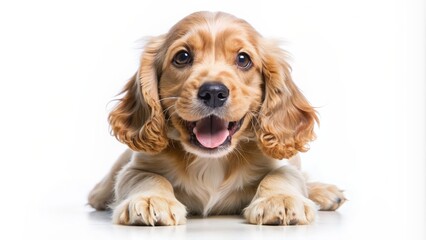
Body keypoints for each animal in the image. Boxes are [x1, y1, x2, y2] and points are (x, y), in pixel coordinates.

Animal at [88, 10, 344, 225]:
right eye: (182, 56)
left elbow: (282, 175)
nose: (213, 92)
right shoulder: (135, 167)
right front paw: (151, 200)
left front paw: (281, 200)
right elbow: (147, 178)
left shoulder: (281, 164)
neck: (210, 160)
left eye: (243, 59)